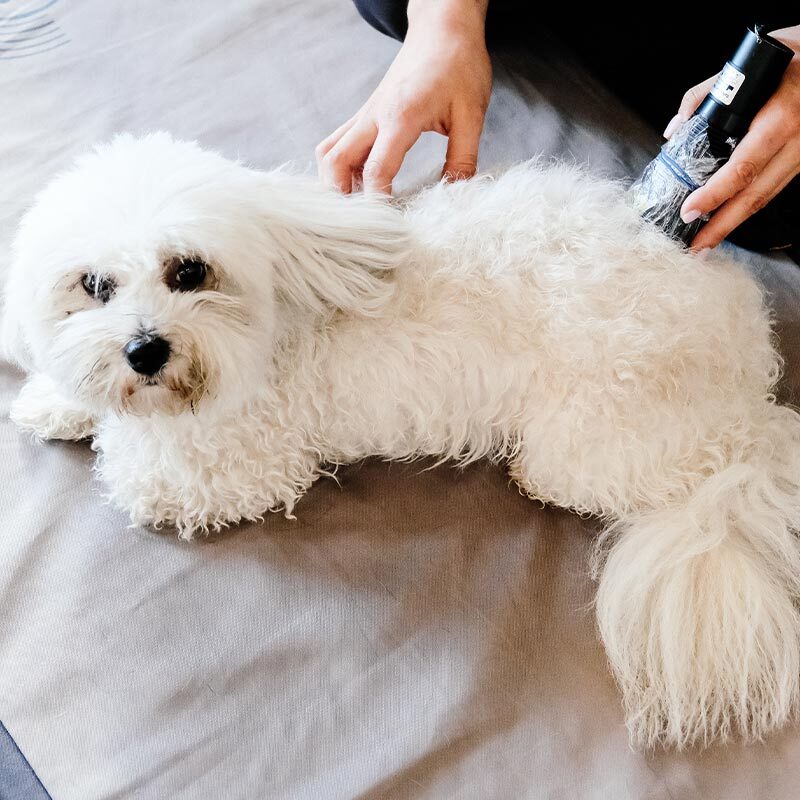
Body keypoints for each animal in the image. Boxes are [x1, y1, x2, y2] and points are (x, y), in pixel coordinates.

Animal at [1, 133, 800, 752]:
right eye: (93, 285)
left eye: (189, 271)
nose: (144, 351)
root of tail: (747, 379)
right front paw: (55, 398)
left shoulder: (239, 468)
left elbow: (132, 471)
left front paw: (107, 429)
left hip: (592, 442)